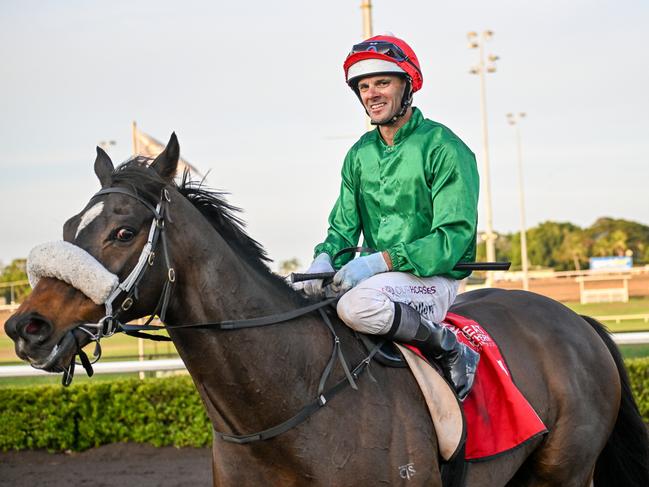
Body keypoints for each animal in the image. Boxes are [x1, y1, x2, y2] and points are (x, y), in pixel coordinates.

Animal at [6, 134, 648, 487]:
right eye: (70, 226)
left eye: (123, 231)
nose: (25, 326)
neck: (285, 410)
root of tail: (577, 322)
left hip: (564, 470)